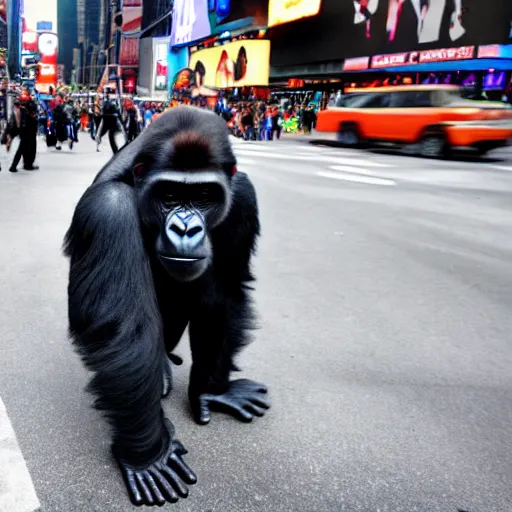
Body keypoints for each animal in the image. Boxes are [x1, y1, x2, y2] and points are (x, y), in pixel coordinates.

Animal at [64, 106, 270, 506]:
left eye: (204, 195)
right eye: (170, 195)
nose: (186, 229)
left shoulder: (243, 197)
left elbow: (227, 288)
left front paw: (212, 390)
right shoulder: (108, 209)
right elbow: (124, 334)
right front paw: (147, 455)